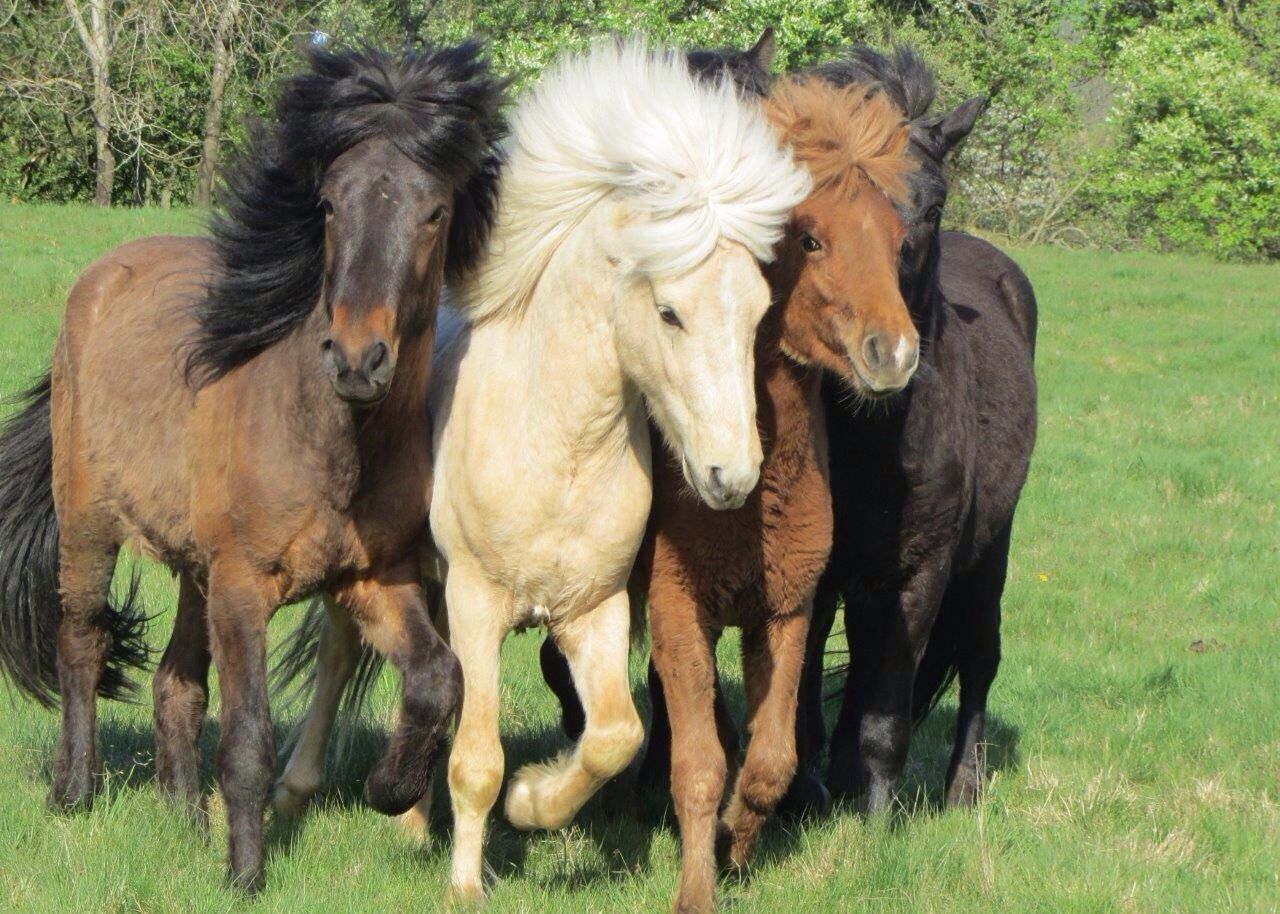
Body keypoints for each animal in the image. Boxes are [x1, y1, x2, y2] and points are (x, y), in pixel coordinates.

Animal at [0, 42, 506, 890]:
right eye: (329, 205)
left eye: (434, 211)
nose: (357, 359)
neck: (329, 438)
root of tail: (103, 278)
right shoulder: (244, 588)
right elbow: (246, 739)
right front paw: (245, 874)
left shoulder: (372, 579)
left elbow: (439, 679)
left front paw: (390, 788)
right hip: (90, 527)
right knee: (82, 643)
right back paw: (75, 789)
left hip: (192, 569)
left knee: (174, 683)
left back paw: (183, 820)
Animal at [271, 39, 808, 901]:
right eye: (668, 311)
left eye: (759, 311)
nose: (731, 474)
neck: (558, 445)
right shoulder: (478, 604)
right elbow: (478, 761)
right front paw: (465, 886)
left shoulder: (594, 610)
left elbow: (615, 735)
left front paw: (533, 805)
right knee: (341, 652)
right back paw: (303, 790)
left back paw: (412, 814)